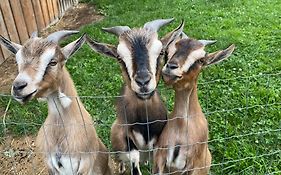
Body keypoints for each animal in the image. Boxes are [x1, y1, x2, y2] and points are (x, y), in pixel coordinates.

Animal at [152, 21, 235, 174]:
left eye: (201, 60)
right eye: (168, 52)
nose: (171, 67)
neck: (182, 126)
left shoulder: (195, 167)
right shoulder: (159, 160)